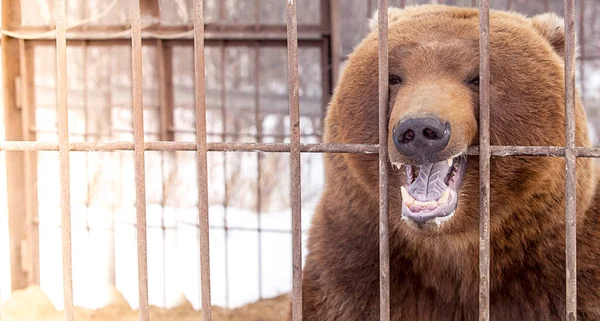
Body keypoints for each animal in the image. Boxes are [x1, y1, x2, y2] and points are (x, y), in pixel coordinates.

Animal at [298, 3, 600, 320]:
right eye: (394, 77)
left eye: (477, 78)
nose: (420, 129)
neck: (451, 249)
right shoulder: (352, 268)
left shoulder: (565, 275)